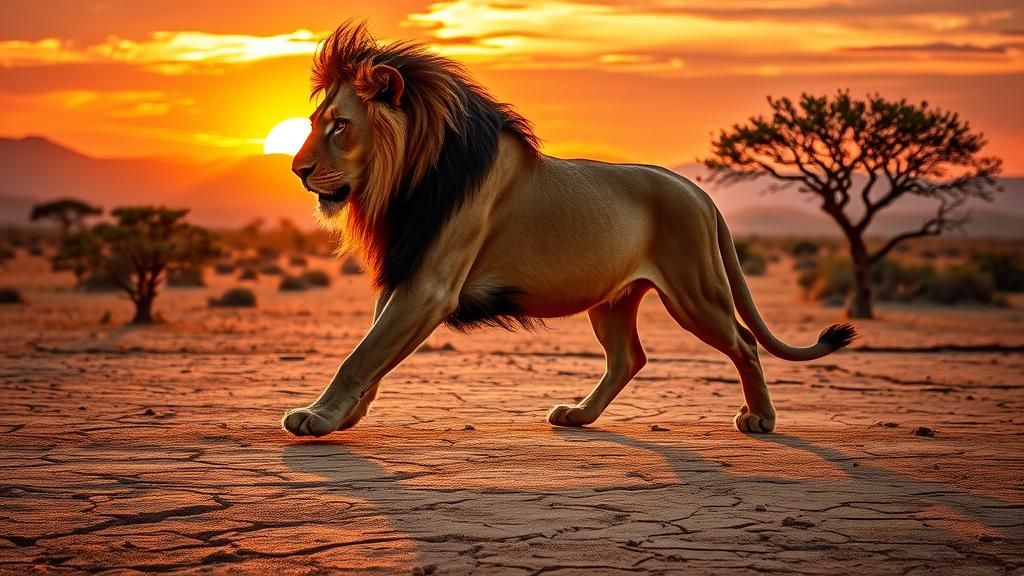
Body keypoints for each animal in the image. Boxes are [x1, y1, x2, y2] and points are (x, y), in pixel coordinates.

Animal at [282, 22, 855, 438]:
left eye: (340, 125)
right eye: (314, 124)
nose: (297, 170)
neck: (408, 180)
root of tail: (698, 191)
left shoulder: (429, 287)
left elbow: (362, 355)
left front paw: (318, 418)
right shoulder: (409, 271)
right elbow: (373, 355)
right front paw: (343, 415)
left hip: (695, 291)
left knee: (744, 342)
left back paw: (761, 419)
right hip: (614, 298)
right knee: (628, 357)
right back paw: (579, 415)